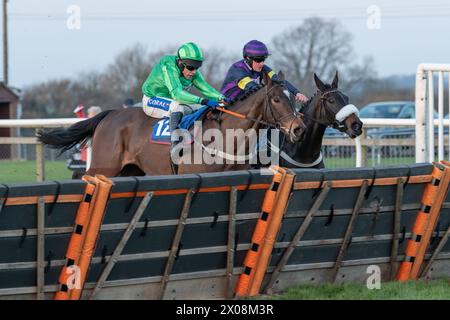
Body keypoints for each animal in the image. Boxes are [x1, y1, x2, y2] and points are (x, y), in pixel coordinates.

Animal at [38, 71, 306, 176]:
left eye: (293, 97)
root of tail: (110, 114)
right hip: (104, 166)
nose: (298, 128)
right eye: (276, 99)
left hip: (131, 170)